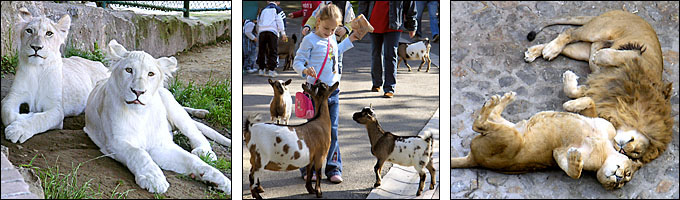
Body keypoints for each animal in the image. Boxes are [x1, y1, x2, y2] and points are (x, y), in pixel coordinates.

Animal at [1, 7, 109, 142]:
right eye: (29, 30)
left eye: (49, 33)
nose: (36, 47)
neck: (38, 69)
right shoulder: (13, 96)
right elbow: (7, 113)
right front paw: (26, 115)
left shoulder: (56, 109)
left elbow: (40, 119)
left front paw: (18, 129)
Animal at [81, 39, 231, 194]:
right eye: (129, 70)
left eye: (151, 74)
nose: (138, 92)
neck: (140, 114)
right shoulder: (115, 142)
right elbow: (139, 153)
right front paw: (153, 178)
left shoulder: (160, 145)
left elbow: (191, 160)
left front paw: (220, 180)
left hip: (172, 104)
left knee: (196, 133)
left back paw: (204, 152)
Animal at [452, 92, 644, 189]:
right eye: (628, 173)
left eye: (619, 186)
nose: (619, 178)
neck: (607, 149)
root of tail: (475, 159)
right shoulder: (602, 124)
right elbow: (591, 102)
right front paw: (571, 105)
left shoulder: (557, 152)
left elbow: (573, 172)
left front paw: (575, 160)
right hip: (511, 129)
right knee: (485, 120)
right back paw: (503, 98)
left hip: (511, 136)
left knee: (479, 124)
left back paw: (496, 100)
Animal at [524, 9, 672, 164]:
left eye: (635, 154)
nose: (623, 150)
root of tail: (628, 13)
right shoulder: (635, 55)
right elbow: (612, 56)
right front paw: (600, 56)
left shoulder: (597, 85)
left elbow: (574, 92)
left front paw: (572, 98)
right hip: (597, 31)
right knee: (569, 32)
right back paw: (551, 49)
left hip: (581, 51)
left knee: (567, 46)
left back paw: (538, 51)